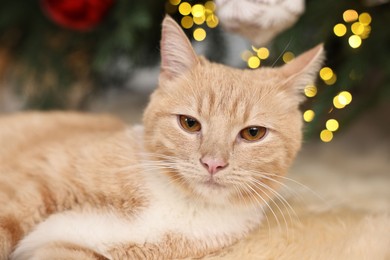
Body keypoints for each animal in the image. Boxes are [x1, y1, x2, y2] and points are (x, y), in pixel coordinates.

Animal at [0, 17, 322, 258]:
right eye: (189, 124)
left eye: (253, 133)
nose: (213, 163)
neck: (180, 204)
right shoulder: (28, 186)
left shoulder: (72, 248)